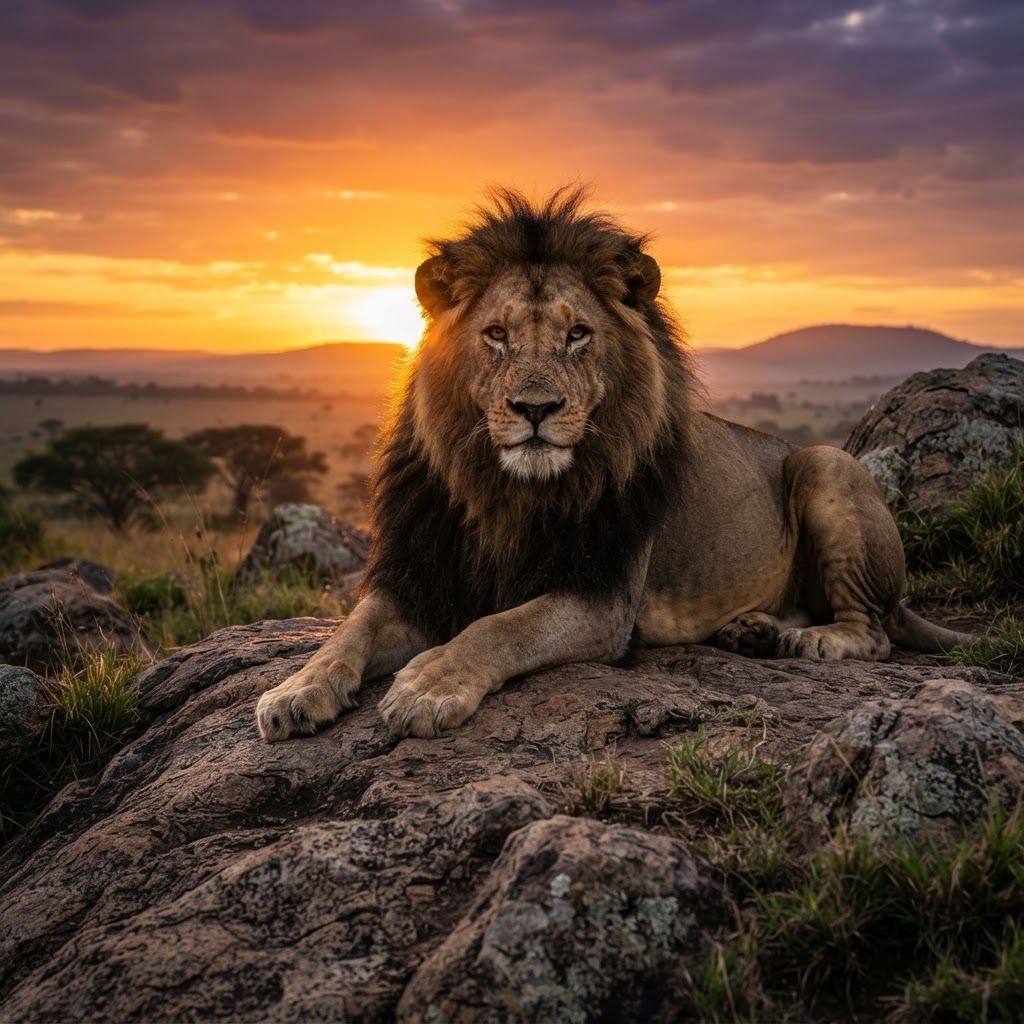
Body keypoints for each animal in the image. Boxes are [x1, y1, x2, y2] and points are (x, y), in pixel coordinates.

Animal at [257, 187, 975, 743]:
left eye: (578, 334)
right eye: (497, 335)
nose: (535, 408)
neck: (506, 492)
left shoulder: (601, 598)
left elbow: (499, 627)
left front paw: (428, 685)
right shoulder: (419, 573)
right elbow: (347, 633)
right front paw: (293, 691)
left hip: (825, 463)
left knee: (874, 631)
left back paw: (809, 641)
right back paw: (754, 631)